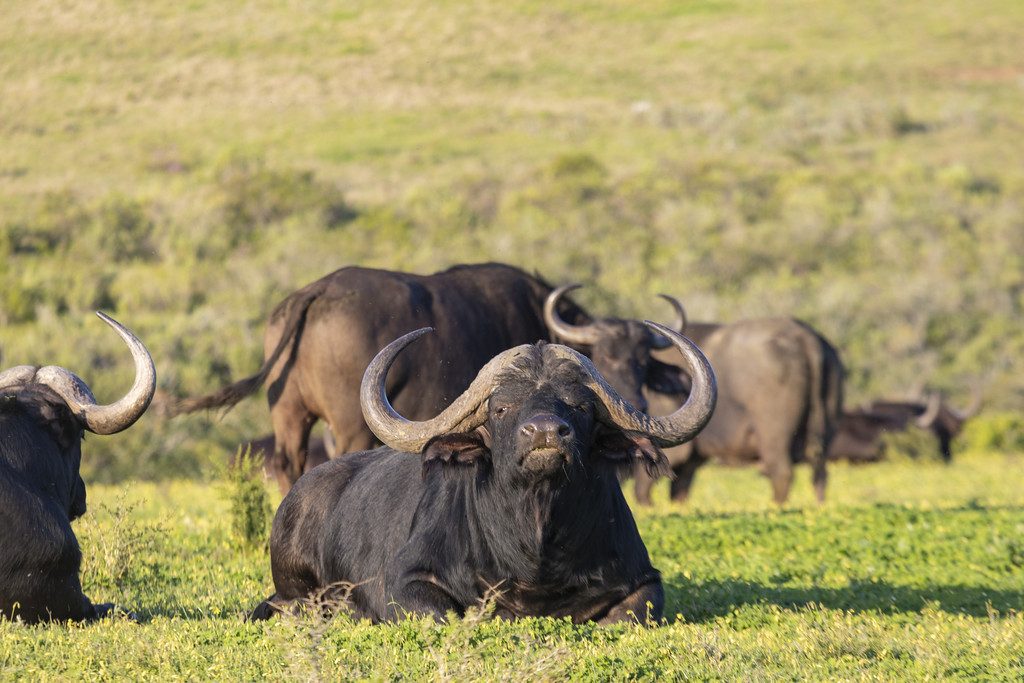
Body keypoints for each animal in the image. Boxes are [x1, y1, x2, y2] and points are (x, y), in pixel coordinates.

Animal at [250, 321, 716, 624]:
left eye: (580, 406)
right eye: (501, 407)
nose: (545, 433)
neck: (536, 545)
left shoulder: (644, 582)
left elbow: (631, 614)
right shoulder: (406, 583)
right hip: (290, 586)